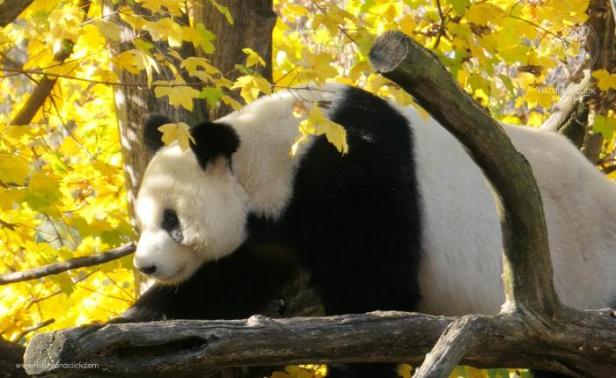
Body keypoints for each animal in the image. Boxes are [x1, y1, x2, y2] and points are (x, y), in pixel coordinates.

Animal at [121, 85, 616, 378]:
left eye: (171, 220)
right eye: (144, 219)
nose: (146, 265)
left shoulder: (359, 180)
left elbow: (373, 294)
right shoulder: (267, 230)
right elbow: (222, 285)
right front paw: (132, 326)